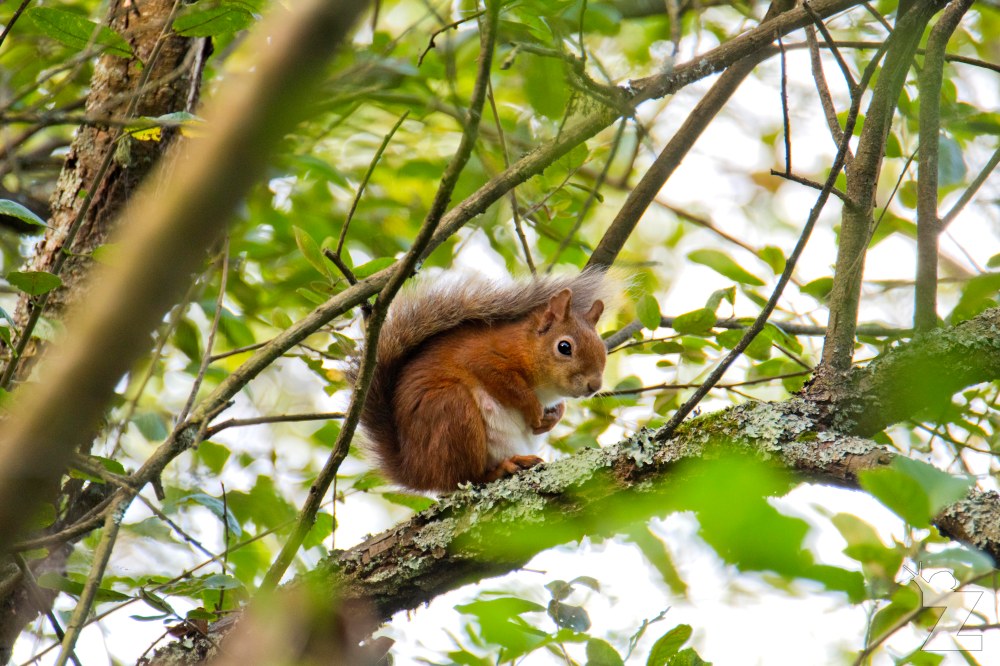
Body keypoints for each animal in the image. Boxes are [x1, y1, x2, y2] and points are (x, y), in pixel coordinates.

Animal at [354, 268, 617, 492]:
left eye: (602, 348)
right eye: (564, 347)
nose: (594, 386)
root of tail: (415, 470)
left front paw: (553, 417)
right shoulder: (484, 358)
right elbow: (510, 387)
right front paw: (533, 409)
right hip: (453, 411)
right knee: (464, 477)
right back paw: (502, 468)